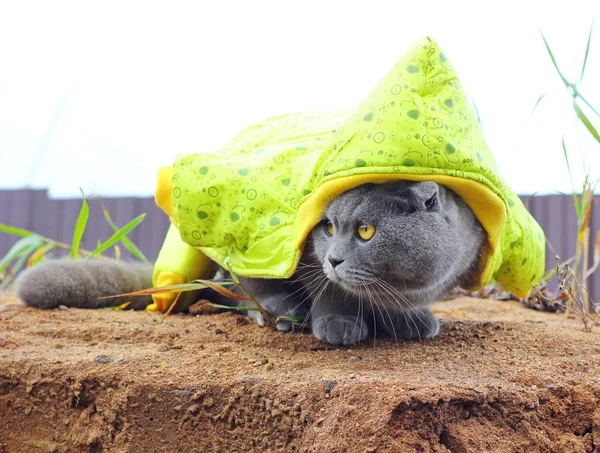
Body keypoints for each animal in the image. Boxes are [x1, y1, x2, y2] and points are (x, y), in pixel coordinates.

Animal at [15, 182, 488, 344]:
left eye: (367, 231)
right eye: (327, 227)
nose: (333, 257)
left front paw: (409, 319)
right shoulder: (306, 259)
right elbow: (332, 291)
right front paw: (339, 324)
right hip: (243, 261)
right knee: (242, 297)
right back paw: (280, 314)